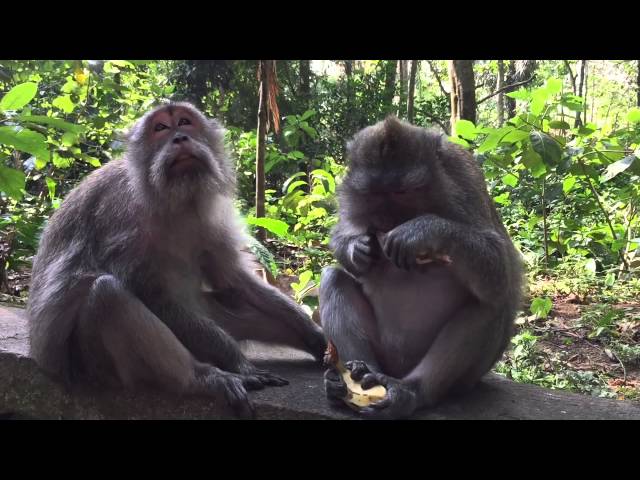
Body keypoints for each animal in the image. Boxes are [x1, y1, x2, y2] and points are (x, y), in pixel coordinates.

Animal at [322, 117, 524, 420]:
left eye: (401, 192)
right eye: (374, 194)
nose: (387, 219)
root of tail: (398, 369)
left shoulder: (466, 183)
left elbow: (501, 270)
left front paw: (422, 231)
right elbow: (342, 233)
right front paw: (356, 249)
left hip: (463, 377)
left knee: (488, 306)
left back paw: (410, 392)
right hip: (384, 353)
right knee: (332, 278)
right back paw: (357, 374)